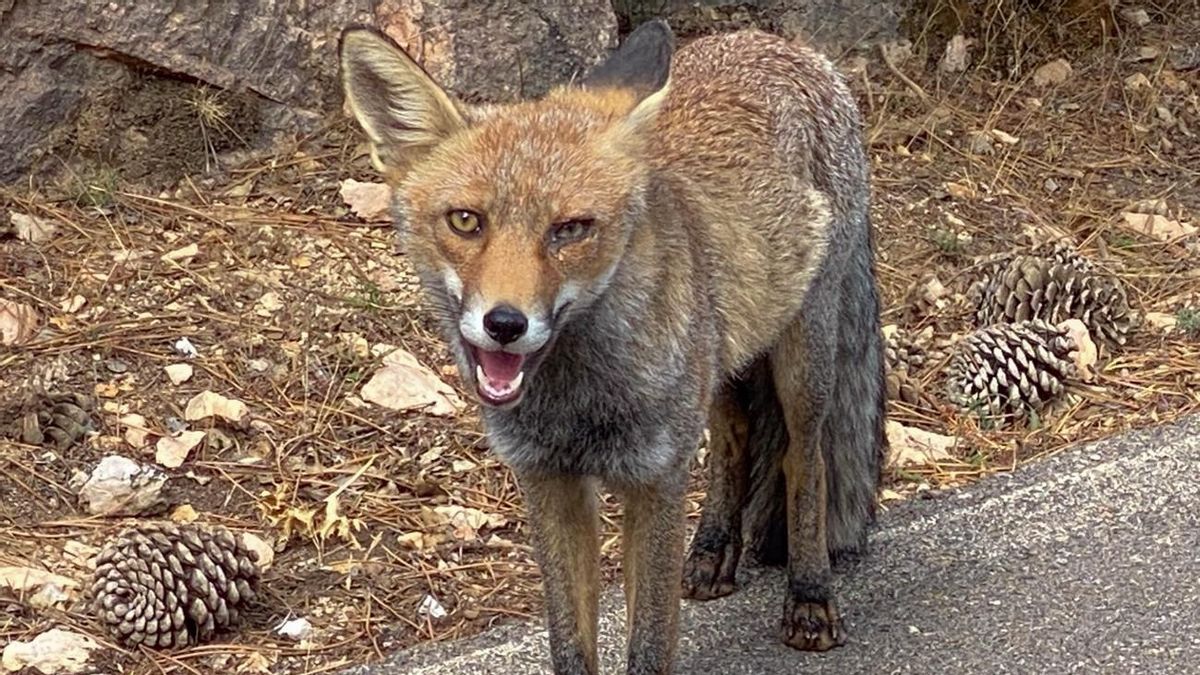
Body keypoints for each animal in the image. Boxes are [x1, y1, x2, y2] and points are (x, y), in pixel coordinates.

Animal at [339, 18, 886, 675]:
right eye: (466, 221)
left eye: (570, 229)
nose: (504, 323)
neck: (579, 403)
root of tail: (772, 40)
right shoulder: (549, 481)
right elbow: (569, 642)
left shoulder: (655, 479)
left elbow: (647, 643)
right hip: (721, 364)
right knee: (734, 438)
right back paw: (712, 549)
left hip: (803, 362)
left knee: (805, 462)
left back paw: (809, 595)